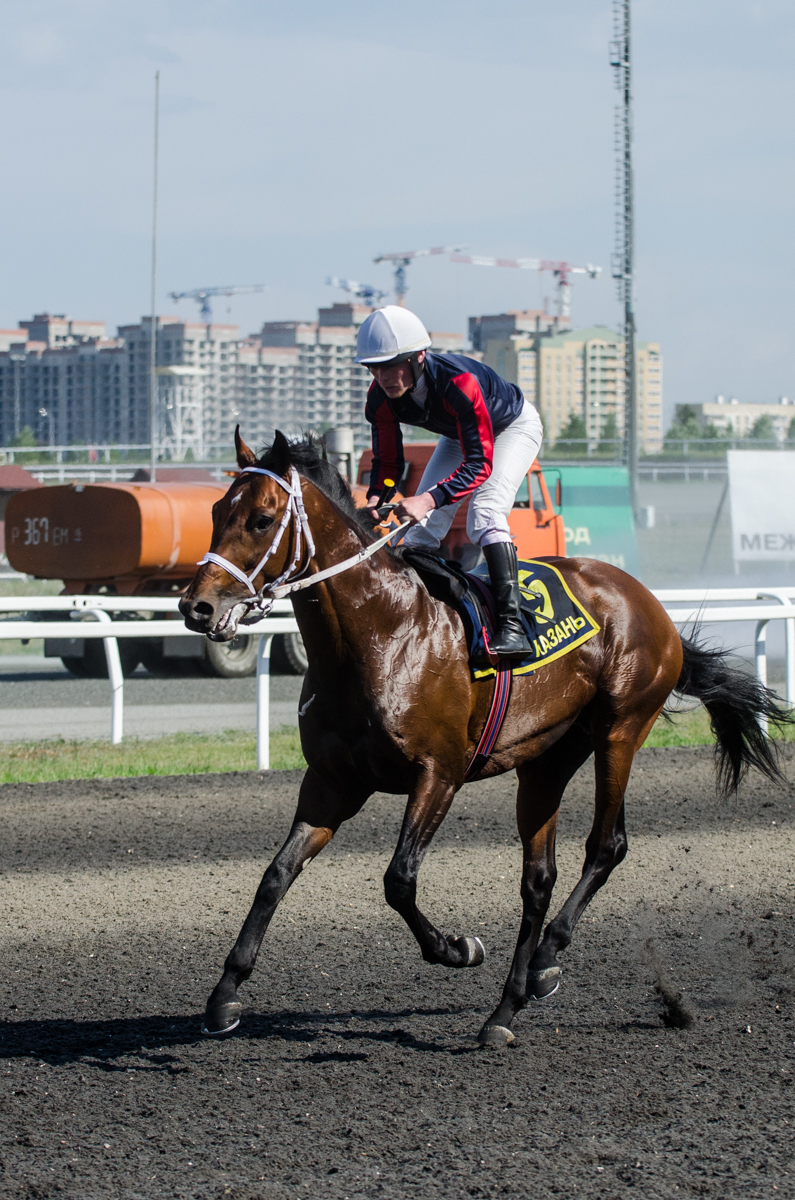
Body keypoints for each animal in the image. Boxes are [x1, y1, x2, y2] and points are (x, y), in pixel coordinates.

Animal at [182, 429, 792, 1041]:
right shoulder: (333, 781)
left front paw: (458, 948)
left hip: (621, 729)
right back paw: (513, 1000)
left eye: (262, 519)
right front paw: (224, 996)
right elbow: (275, 874)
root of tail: (647, 601)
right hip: (547, 760)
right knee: (539, 877)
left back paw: (544, 959)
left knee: (606, 845)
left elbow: (399, 879)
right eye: (214, 511)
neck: (381, 633)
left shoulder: (439, 774)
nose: (195, 606)